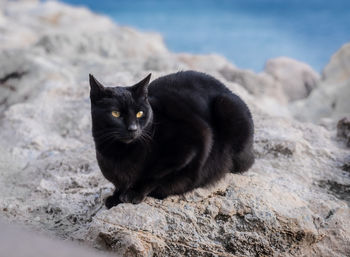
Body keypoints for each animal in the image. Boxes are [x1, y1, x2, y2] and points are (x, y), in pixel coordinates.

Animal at [89, 70, 254, 208]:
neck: (118, 153)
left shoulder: (195, 140)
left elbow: (155, 176)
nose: (133, 129)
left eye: (140, 113)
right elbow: (120, 184)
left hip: (226, 105)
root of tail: (227, 89)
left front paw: (134, 192)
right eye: (115, 114)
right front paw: (116, 195)